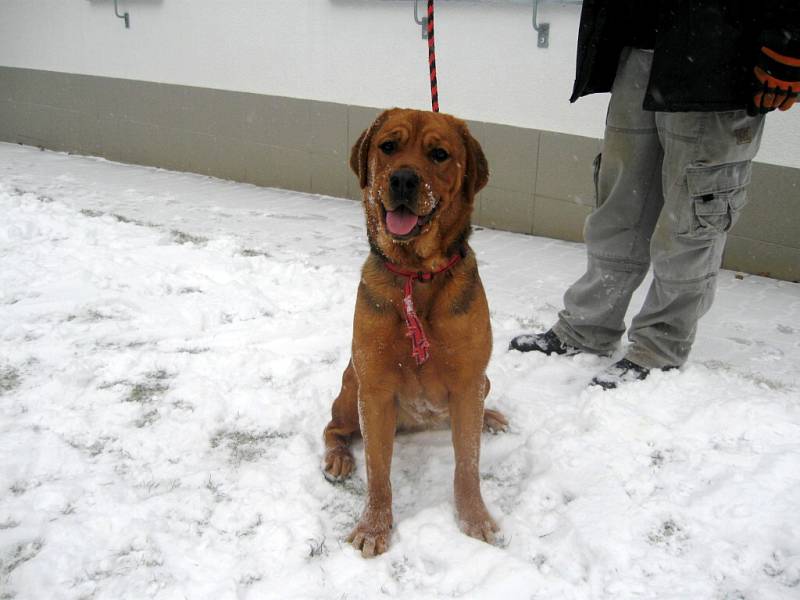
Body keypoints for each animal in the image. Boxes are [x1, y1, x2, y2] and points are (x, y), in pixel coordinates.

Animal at [324, 108, 506, 556]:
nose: (404, 179)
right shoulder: (373, 390)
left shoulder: (468, 384)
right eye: (388, 146)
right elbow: (377, 473)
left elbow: (467, 465)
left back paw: (491, 417)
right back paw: (338, 457)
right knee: (333, 429)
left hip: (483, 383)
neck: (418, 276)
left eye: (439, 154)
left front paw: (474, 519)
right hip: (351, 385)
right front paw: (374, 527)